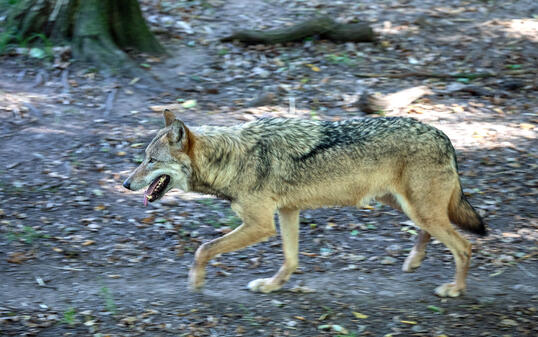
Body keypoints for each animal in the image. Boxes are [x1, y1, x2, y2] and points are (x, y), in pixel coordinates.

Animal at [123, 109, 484, 296]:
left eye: (151, 161)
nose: (126, 183)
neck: (231, 158)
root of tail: (444, 136)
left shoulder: (260, 224)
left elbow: (203, 248)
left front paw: (195, 282)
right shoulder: (288, 212)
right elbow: (291, 260)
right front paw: (272, 286)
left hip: (418, 209)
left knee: (464, 246)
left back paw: (455, 289)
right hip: (405, 206)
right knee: (433, 233)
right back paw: (414, 261)